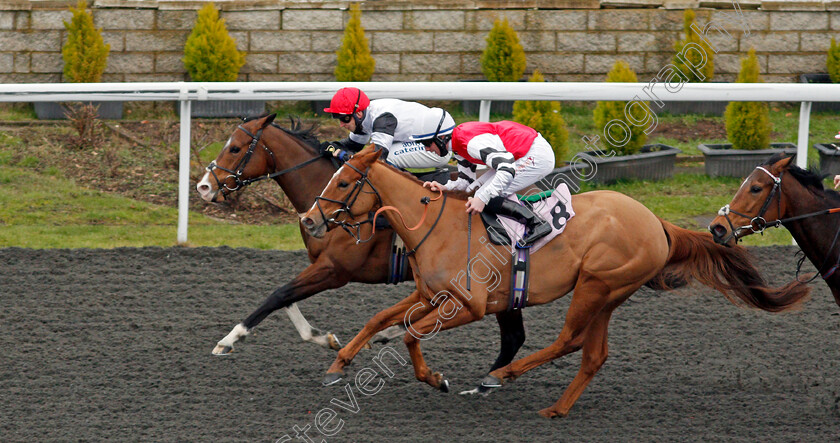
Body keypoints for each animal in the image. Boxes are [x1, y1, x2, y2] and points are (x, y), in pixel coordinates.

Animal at [194, 112, 528, 372]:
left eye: (235, 148)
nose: (203, 187)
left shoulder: (334, 270)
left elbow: (278, 295)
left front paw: (229, 339)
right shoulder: (320, 266)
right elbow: (286, 297)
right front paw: (323, 337)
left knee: (512, 335)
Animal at [298, 147, 812, 418]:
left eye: (342, 184)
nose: (309, 220)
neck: (436, 224)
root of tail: (657, 222)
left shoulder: (469, 305)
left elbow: (409, 334)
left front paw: (436, 378)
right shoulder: (431, 293)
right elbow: (380, 319)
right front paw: (338, 363)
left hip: (596, 285)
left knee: (570, 340)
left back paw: (498, 377)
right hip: (609, 293)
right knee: (593, 352)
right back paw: (557, 408)